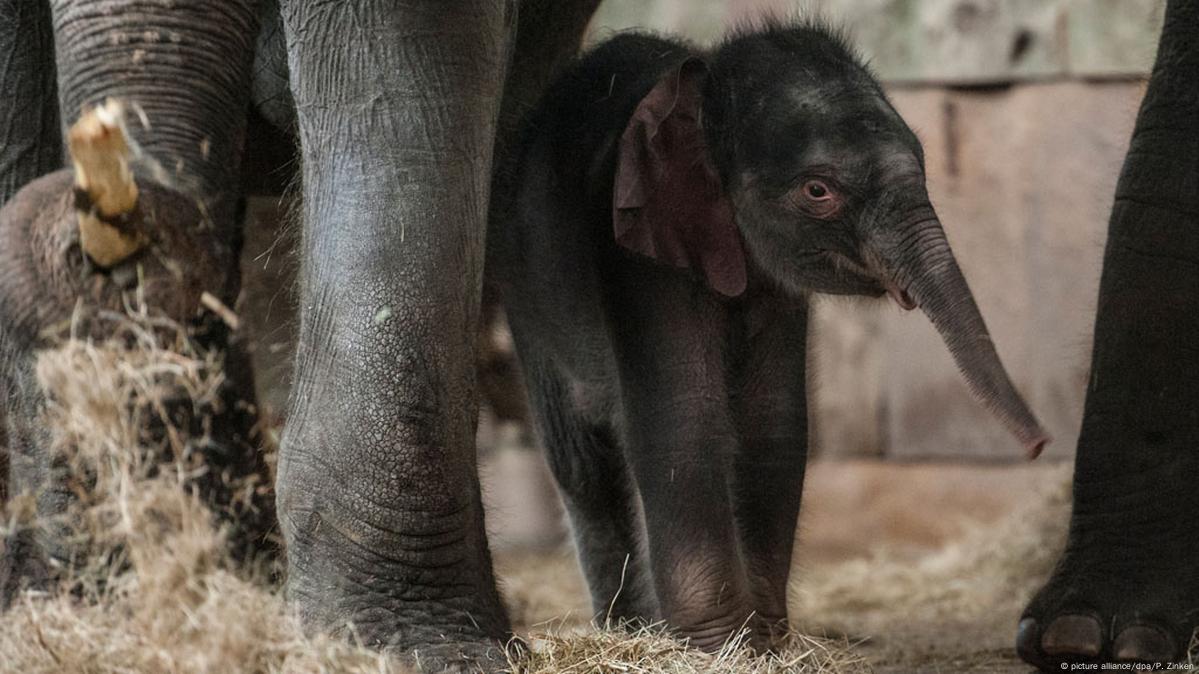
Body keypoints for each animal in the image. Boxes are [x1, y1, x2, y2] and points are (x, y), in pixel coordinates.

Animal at [489, 20, 1050, 647]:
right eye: (818, 192)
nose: (1040, 445)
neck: (701, 98)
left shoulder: (774, 287)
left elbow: (771, 422)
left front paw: (764, 641)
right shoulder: (634, 257)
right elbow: (682, 421)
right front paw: (716, 646)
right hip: (524, 293)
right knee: (581, 460)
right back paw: (627, 632)